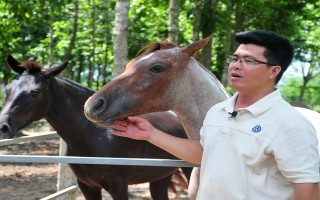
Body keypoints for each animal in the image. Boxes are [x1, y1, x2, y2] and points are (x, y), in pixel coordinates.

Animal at [0, 55, 190, 200]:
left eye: (35, 91)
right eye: (8, 89)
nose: (3, 126)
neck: (95, 135)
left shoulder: (118, 186)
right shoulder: (87, 186)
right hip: (160, 178)